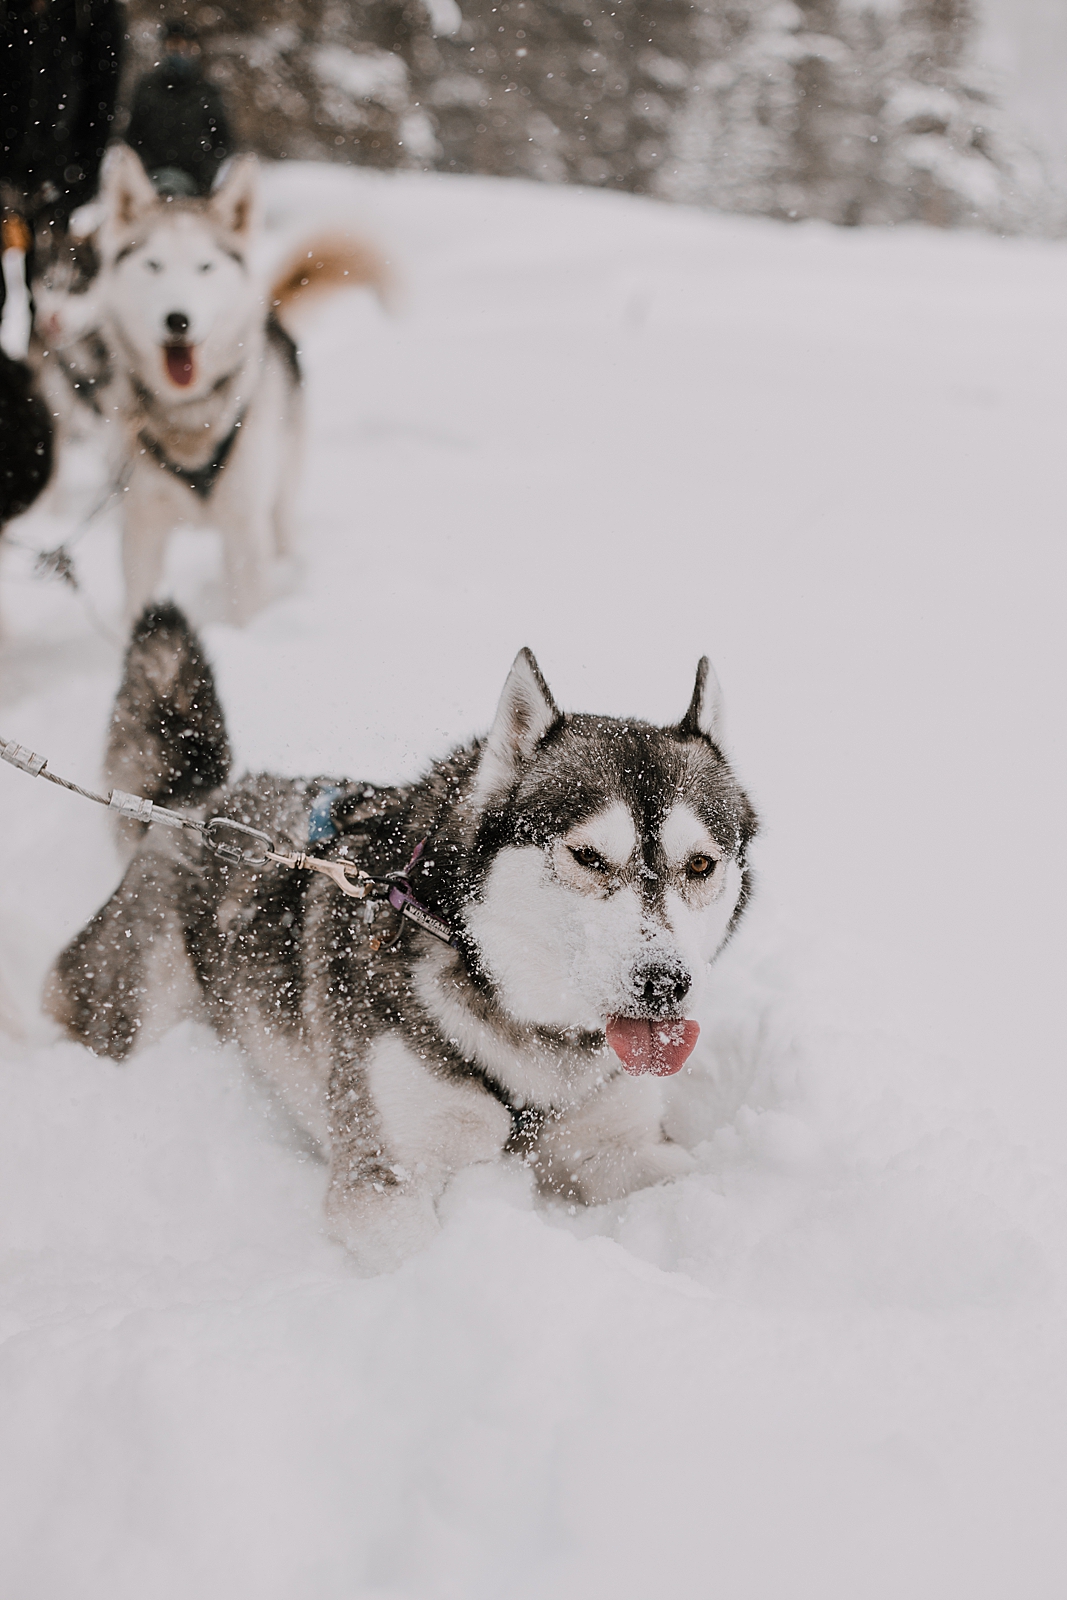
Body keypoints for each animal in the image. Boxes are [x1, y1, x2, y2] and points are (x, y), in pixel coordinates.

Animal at [47, 604, 758, 1267]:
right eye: (588, 856)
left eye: (700, 865)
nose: (665, 983)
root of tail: (206, 805)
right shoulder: (382, 1179)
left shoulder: (628, 1148)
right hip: (138, 1008)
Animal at [84, 148, 383, 624]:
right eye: (153, 265)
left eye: (205, 267)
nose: (177, 320)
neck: (190, 418)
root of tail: (272, 315)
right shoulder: (141, 531)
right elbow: (138, 604)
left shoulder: (244, 529)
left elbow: (247, 607)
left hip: (279, 494)